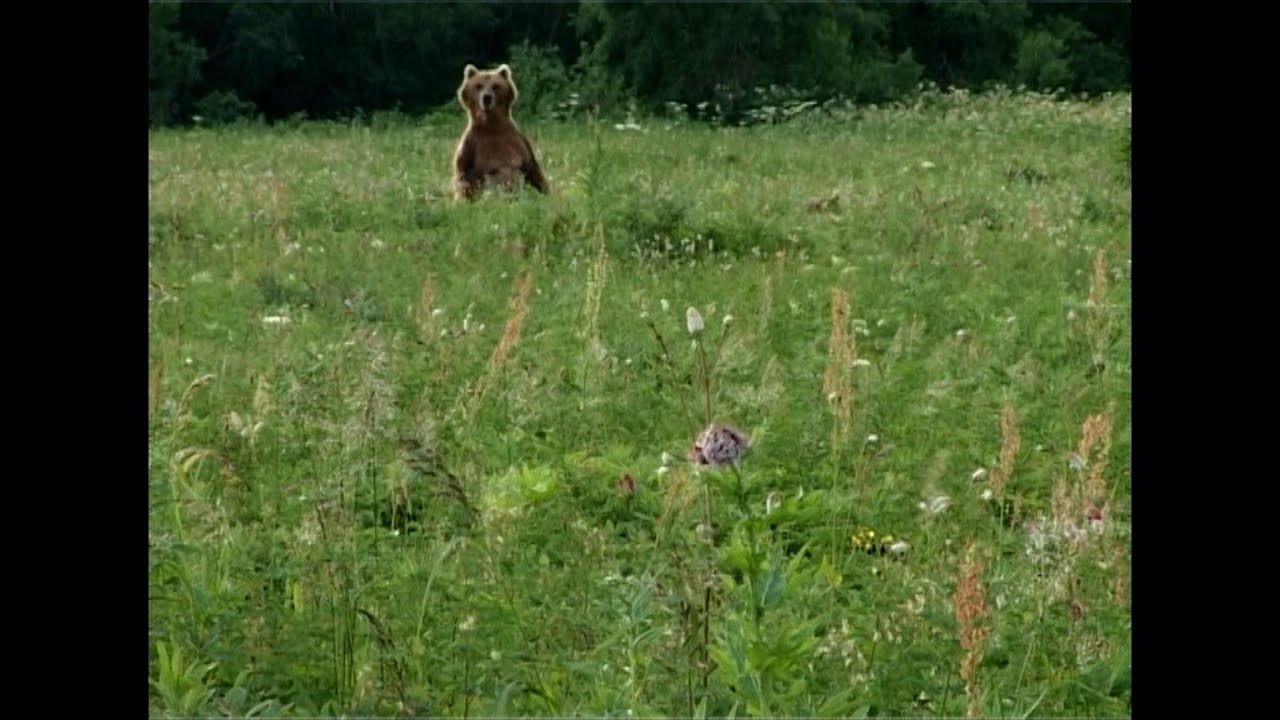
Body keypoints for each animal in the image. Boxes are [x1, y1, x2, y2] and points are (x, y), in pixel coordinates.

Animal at [453, 63, 547, 199]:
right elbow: (464, 178)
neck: (492, 123)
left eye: (495, 86)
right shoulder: (472, 145)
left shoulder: (517, 140)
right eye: (478, 86)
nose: (486, 97)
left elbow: (532, 169)